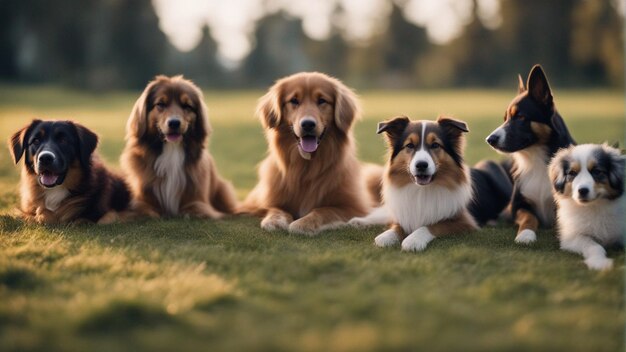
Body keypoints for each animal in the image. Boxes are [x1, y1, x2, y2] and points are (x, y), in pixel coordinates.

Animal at [120, 75, 238, 219]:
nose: (174, 123)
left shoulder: (198, 203)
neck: (172, 149)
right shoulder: (142, 201)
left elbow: (191, 210)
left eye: (186, 106)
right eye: (161, 104)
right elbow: (146, 210)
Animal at [239, 71, 378, 235]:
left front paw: (303, 223)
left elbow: (324, 210)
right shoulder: (262, 201)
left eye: (322, 100)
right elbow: (275, 209)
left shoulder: (354, 207)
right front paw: (275, 220)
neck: (306, 166)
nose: (307, 124)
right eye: (294, 100)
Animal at [364, 115, 510, 250]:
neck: (422, 191)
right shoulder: (404, 215)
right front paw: (386, 235)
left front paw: (413, 240)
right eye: (409, 145)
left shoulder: (465, 222)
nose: (421, 165)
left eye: (435, 145)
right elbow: (393, 229)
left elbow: (432, 225)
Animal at [482, 64, 576, 243]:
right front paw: (525, 234)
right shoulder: (519, 206)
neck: (536, 159)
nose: (490, 139)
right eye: (505, 118)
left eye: (520, 116)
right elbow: (528, 217)